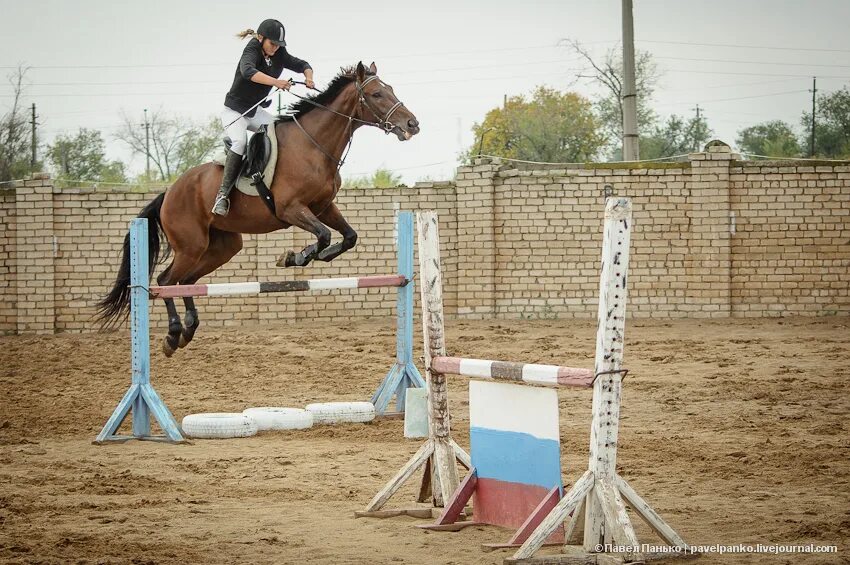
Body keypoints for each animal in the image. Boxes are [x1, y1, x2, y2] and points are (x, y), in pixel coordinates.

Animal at [97, 61, 420, 356]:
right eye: (377, 94)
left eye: (390, 90)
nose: (412, 125)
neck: (313, 145)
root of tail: (169, 193)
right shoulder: (291, 209)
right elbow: (323, 235)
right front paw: (294, 257)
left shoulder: (323, 206)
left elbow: (348, 236)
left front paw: (313, 256)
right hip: (190, 245)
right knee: (166, 281)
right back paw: (173, 335)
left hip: (222, 247)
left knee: (186, 281)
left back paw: (189, 328)